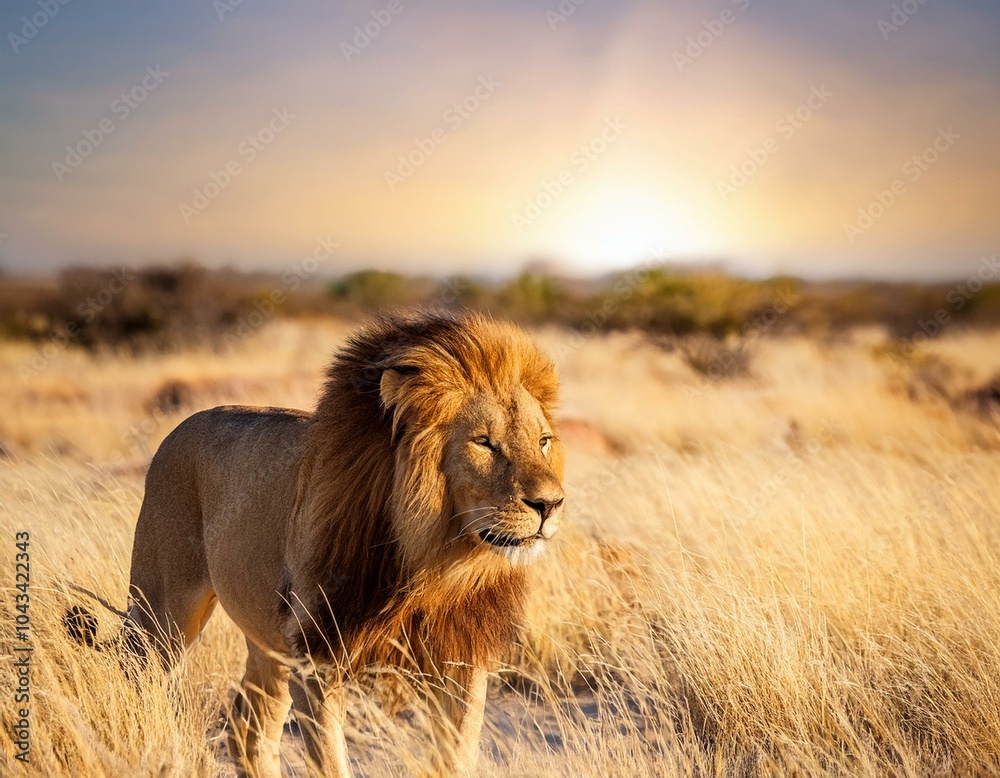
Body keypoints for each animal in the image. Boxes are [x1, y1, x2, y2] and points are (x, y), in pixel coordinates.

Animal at [76, 311, 565, 778]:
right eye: (484, 443)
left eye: (542, 442)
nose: (550, 504)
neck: (433, 561)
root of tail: (180, 427)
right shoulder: (316, 657)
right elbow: (330, 761)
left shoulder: (461, 655)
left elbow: (458, 755)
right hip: (162, 615)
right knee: (138, 683)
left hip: (269, 640)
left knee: (249, 731)